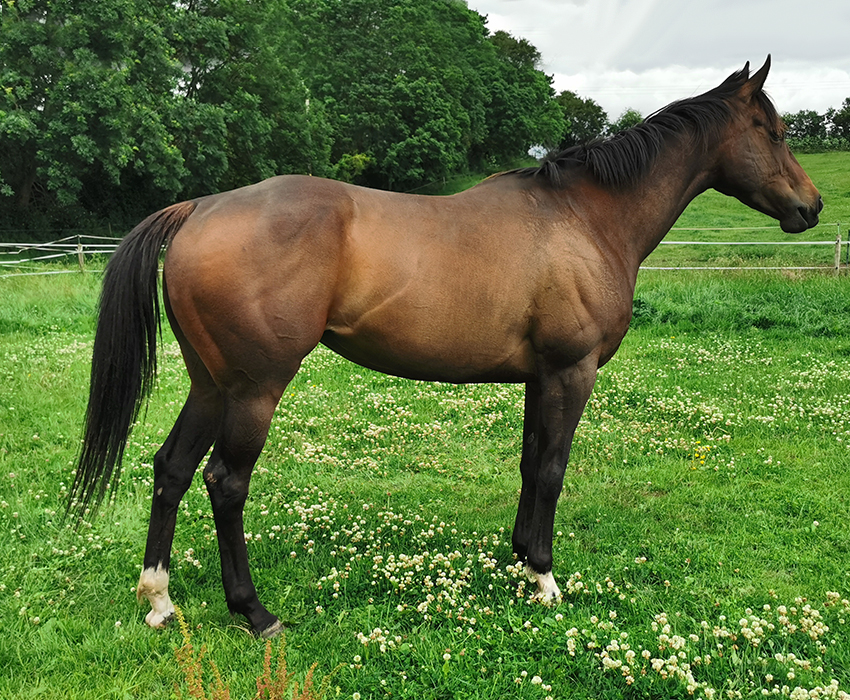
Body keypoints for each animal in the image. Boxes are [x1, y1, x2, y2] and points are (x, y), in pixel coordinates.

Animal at [74, 56, 820, 636]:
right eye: (776, 132)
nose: (810, 207)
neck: (584, 218)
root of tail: (200, 208)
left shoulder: (538, 378)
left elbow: (529, 466)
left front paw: (518, 559)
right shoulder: (570, 373)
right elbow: (553, 470)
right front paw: (545, 580)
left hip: (212, 382)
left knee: (170, 469)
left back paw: (160, 601)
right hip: (255, 388)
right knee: (225, 483)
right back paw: (254, 613)